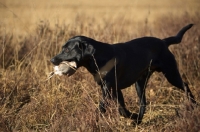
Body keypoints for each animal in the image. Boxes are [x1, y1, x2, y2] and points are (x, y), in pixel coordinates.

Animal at [50, 24, 196, 124]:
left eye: (67, 50)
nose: (52, 60)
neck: (99, 57)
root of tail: (164, 41)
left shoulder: (107, 88)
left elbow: (102, 106)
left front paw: (96, 120)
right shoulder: (115, 89)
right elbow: (122, 109)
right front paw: (132, 116)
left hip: (171, 74)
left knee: (186, 86)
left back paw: (194, 105)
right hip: (140, 82)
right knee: (143, 102)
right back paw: (138, 121)